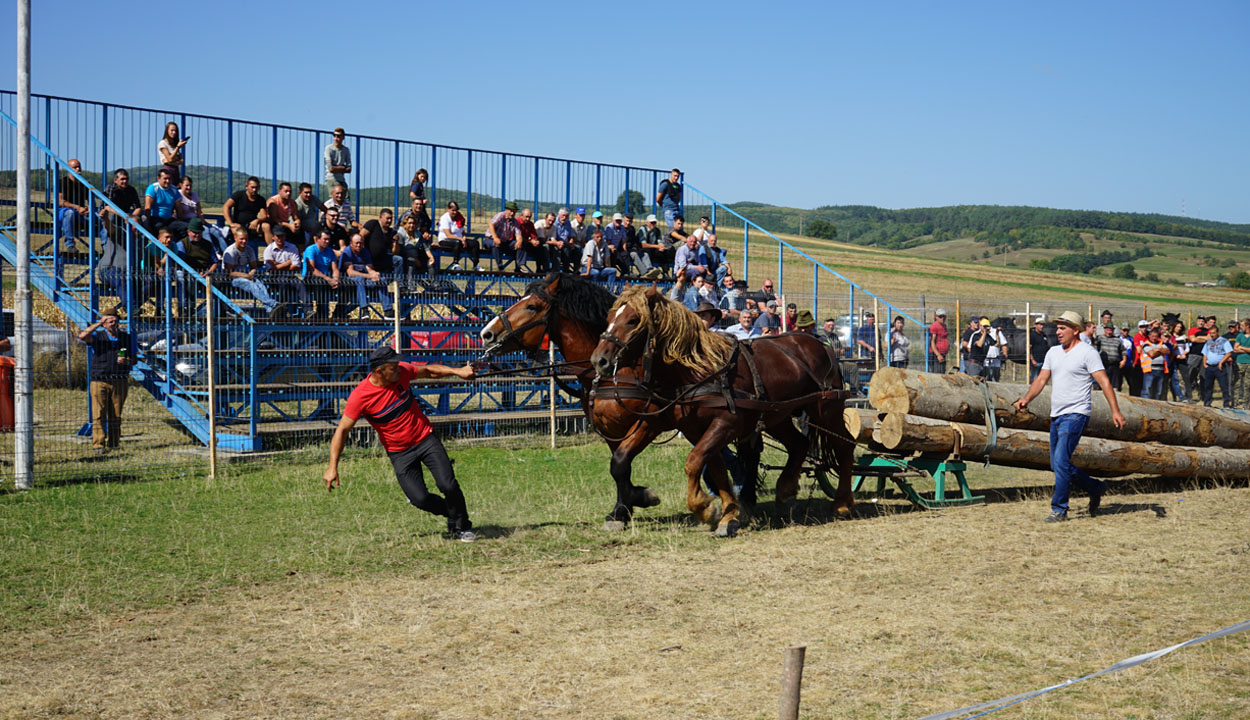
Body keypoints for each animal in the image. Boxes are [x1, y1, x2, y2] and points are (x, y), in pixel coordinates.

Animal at [590, 287, 855, 535]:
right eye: (610, 316)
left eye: (633, 320)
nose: (599, 360)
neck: (696, 370)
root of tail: (820, 345)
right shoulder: (684, 427)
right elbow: (712, 468)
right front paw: (728, 515)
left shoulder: (726, 424)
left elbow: (694, 462)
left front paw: (706, 508)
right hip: (777, 415)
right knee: (799, 444)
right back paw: (785, 491)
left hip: (826, 410)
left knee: (845, 446)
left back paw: (842, 503)